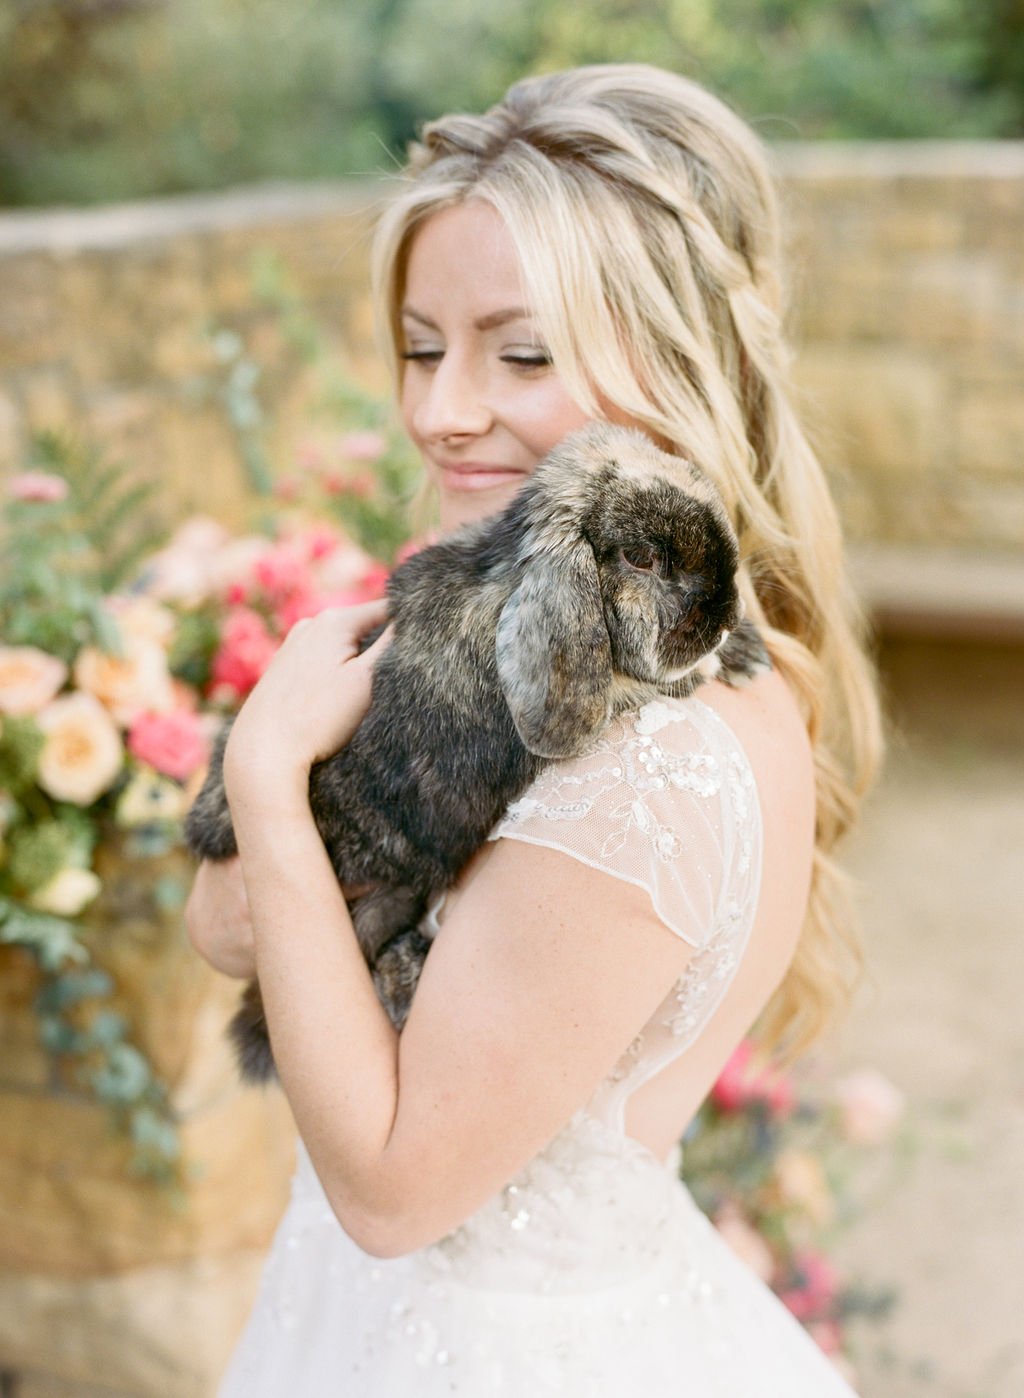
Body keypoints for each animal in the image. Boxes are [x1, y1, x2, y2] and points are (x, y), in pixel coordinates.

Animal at [187, 422, 772, 1079]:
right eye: (641, 558)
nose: (725, 617)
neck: (506, 576)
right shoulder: (619, 693)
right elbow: (674, 677)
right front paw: (735, 656)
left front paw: (746, 648)